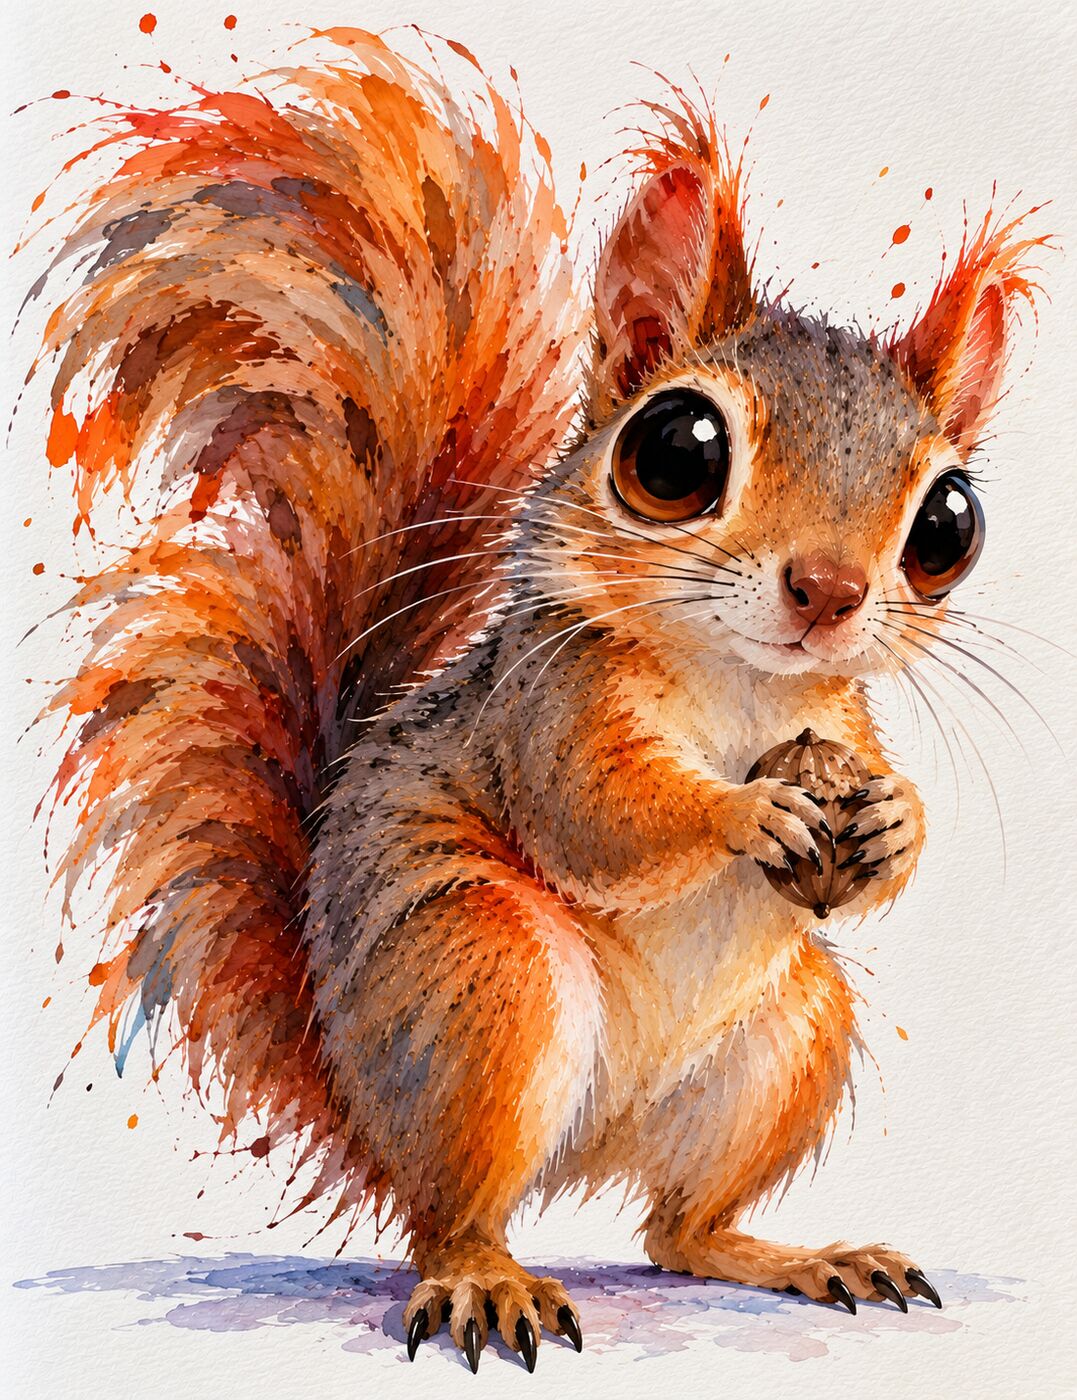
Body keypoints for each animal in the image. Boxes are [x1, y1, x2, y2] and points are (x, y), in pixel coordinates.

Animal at [34, 28, 1045, 1371]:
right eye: (675, 451)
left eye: (949, 522)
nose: (828, 591)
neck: (739, 685)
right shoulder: (548, 707)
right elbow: (595, 813)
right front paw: (742, 814)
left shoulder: (841, 717)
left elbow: (872, 816)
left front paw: (892, 819)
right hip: (484, 981)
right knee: (454, 1214)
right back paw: (484, 1276)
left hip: (791, 1036)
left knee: (678, 1230)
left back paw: (795, 1254)